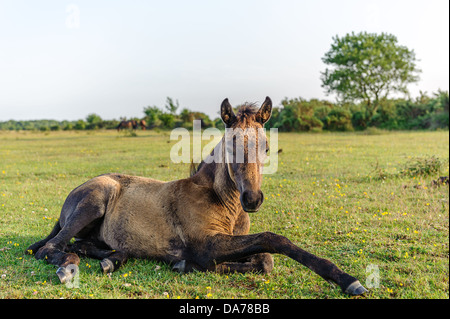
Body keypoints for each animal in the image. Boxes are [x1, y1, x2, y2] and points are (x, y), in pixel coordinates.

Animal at [27, 97, 366, 298]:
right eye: (230, 144)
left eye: (267, 147)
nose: (253, 199)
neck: (223, 204)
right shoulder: (206, 244)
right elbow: (273, 240)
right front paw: (347, 279)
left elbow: (266, 260)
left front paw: (181, 264)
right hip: (96, 199)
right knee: (52, 248)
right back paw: (69, 268)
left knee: (80, 245)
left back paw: (114, 260)